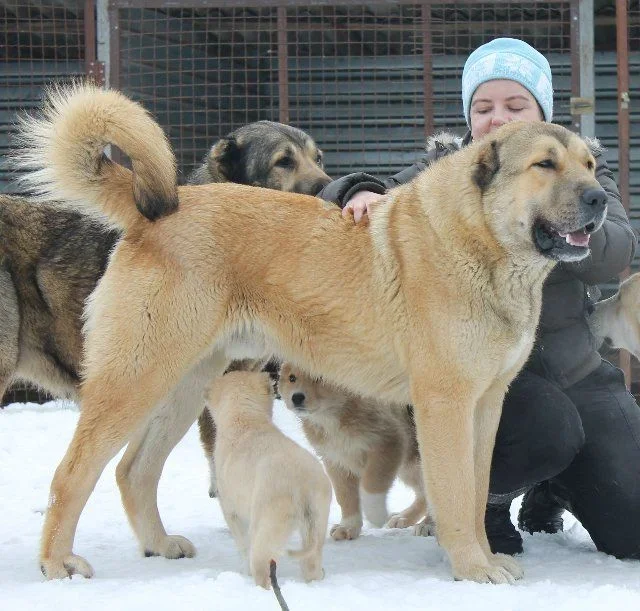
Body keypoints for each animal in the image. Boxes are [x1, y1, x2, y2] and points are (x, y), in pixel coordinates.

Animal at [209, 368, 332, 588]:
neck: (245, 418)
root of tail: (302, 486)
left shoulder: (231, 506)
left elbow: (241, 539)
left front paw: (243, 570)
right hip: (319, 513)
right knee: (311, 560)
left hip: (270, 514)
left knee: (261, 559)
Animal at [278, 364, 428, 540]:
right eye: (292, 378)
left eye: (319, 377)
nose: (296, 397)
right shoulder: (336, 461)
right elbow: (345, 496)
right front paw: (348, 526)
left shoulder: (389, 442)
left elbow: (372, 483)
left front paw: (376, 514)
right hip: (408, 467)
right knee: (424, 494)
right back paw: (404, 517)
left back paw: (427, 525)